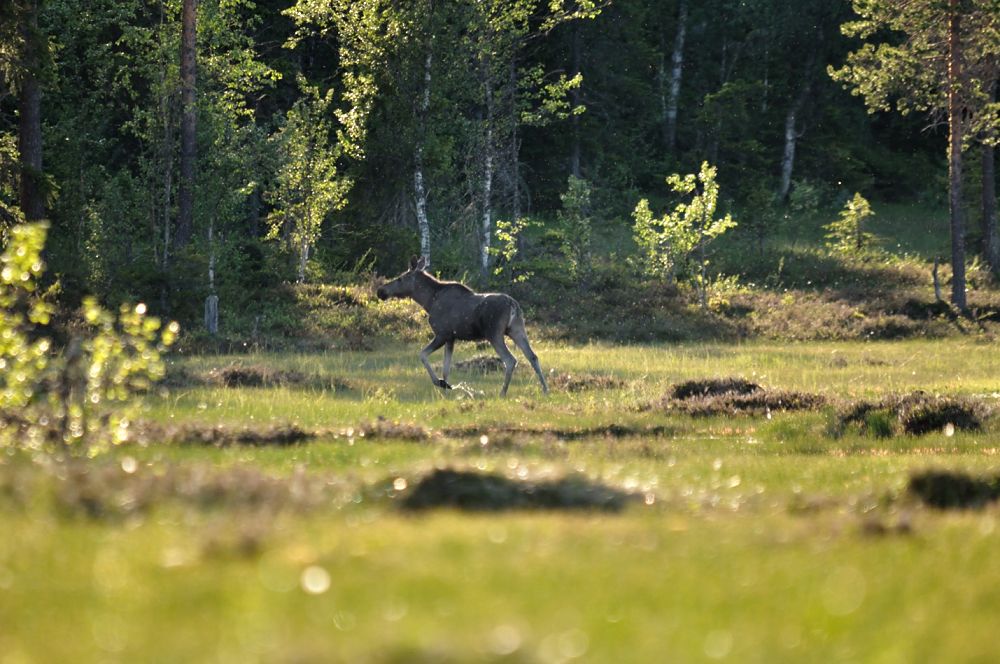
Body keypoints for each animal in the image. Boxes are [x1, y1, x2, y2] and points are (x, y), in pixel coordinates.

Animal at [376, 256, 552, 396]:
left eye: (400, 278)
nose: (381, 291)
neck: (428, 301)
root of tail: (513, 305)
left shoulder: (442, 333)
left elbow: (423, 354)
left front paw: (439, 383)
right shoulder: (451, 338)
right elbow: (446, 368)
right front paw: (445, 388)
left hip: (494, 334)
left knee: (510, 360)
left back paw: (502, 393)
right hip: (516, 329)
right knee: (533, 356)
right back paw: (545, 390)